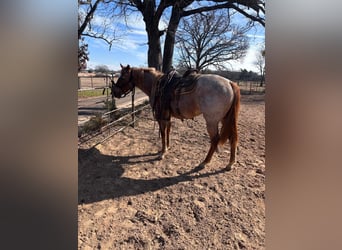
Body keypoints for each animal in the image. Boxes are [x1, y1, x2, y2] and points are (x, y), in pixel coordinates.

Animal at [112, 63, 240, 171]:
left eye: (122, 77)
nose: (115, 92)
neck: (156, 84)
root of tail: (230, 83)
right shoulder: (167, 116)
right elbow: (168, 131)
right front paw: (167, 148)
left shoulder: (161, 117)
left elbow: (163, 133)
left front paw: (162, 152)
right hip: (225, 119)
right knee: (232, 138)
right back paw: (230, 164)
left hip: (212, 121)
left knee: (214, 140)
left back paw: (205, 162)